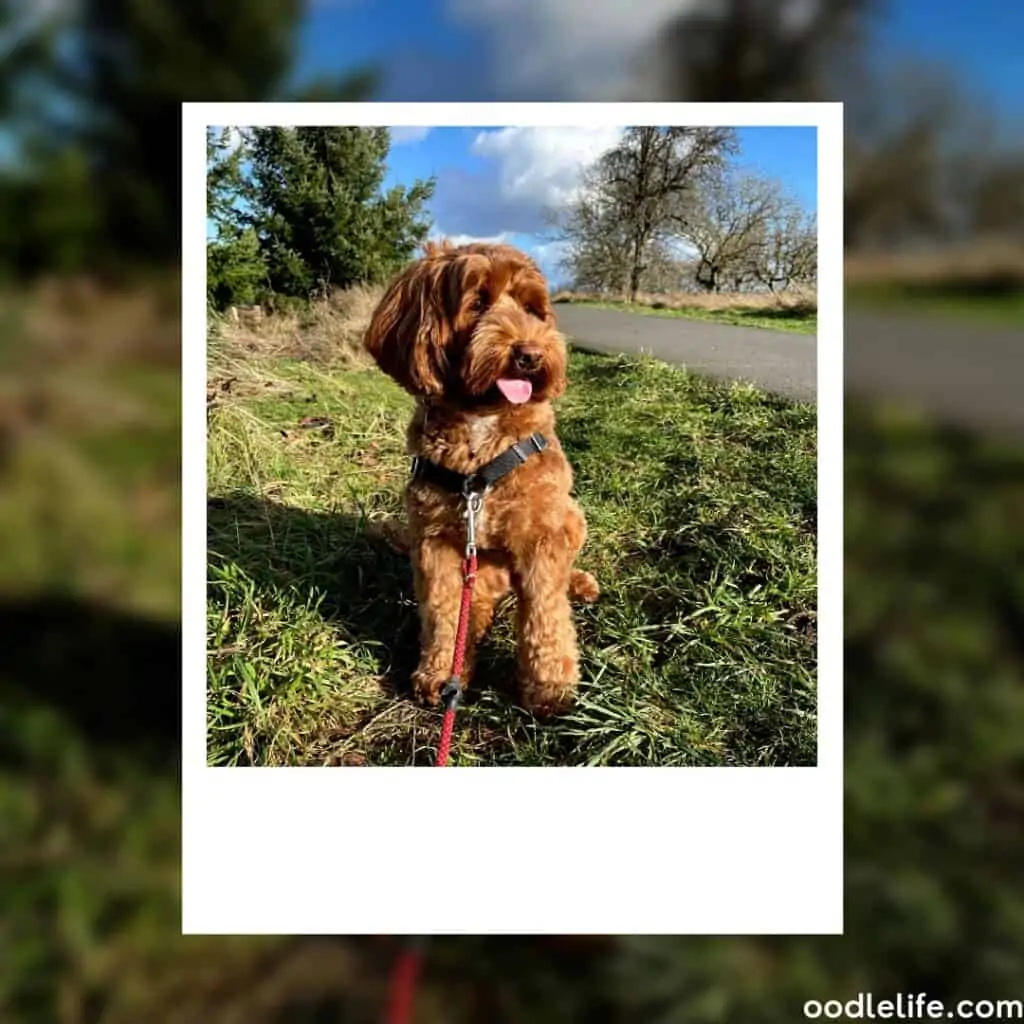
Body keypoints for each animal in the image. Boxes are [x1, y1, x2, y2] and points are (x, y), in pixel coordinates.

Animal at [364, 240, 598, 720]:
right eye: (477, 303)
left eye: (532, 308)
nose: (530, 355)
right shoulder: (435, 542)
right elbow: (443, 612)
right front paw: (440, 673)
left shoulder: (542, 535)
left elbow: (546, 614)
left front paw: (549, 687)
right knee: (474, 606)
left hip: (573, 516)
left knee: (562, 576)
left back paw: (580, 583)